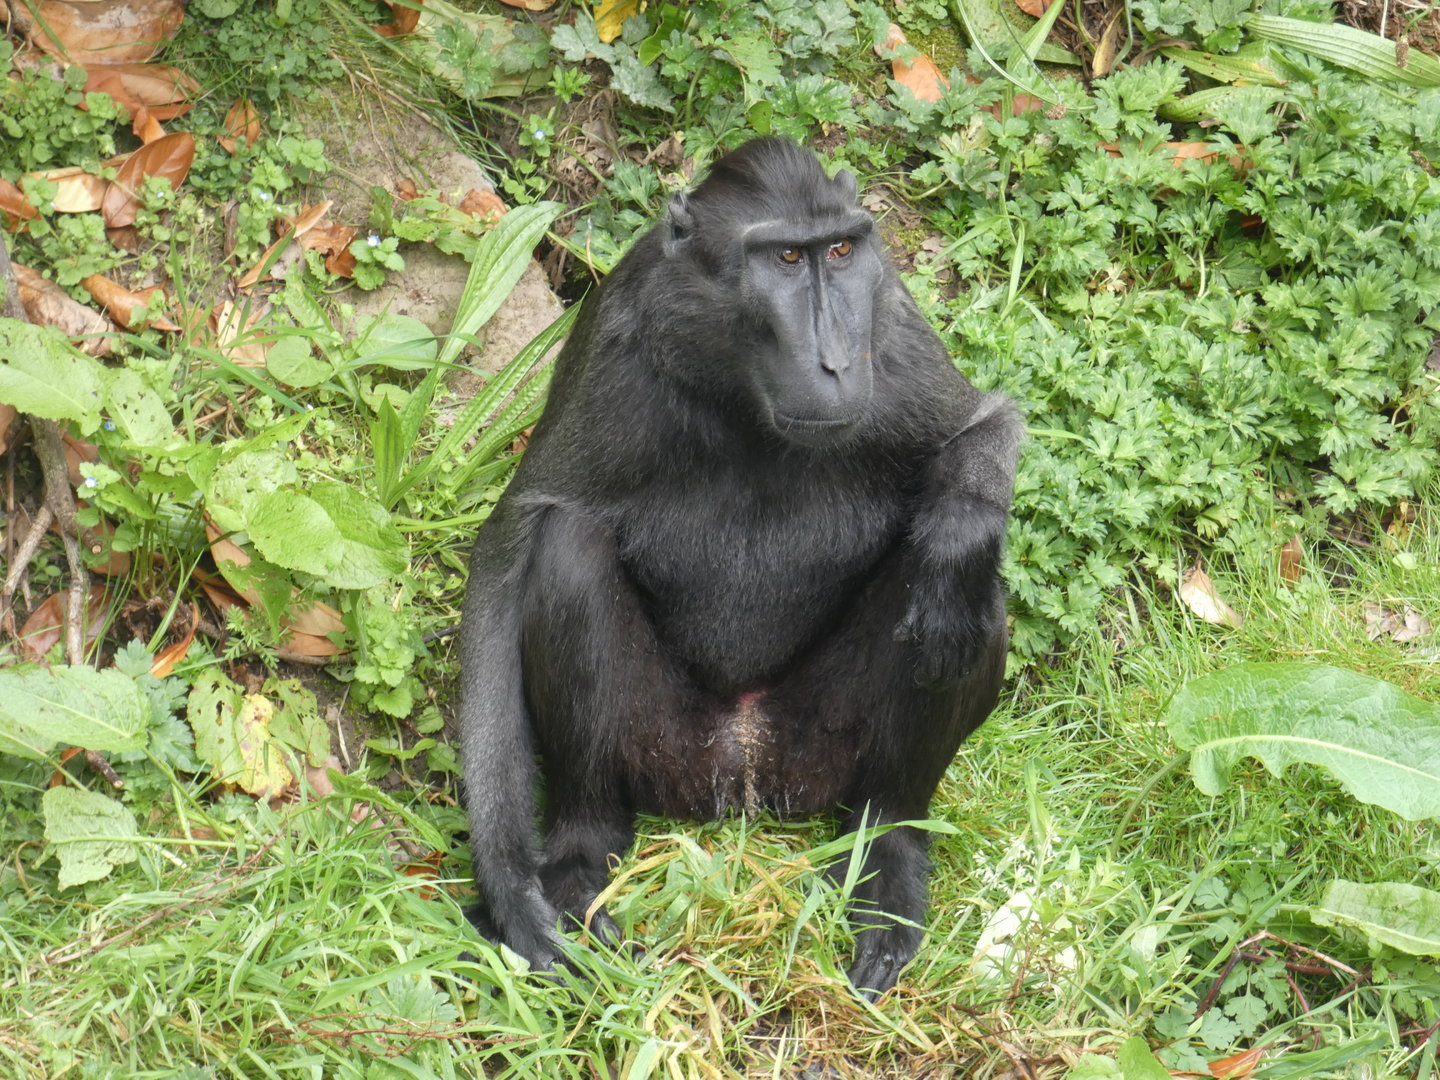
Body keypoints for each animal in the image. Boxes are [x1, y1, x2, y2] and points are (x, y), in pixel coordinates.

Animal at [457, 137, 1020, 997]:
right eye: (785, 258)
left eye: (840, 251)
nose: (834, 362)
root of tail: (746, 775)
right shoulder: (617, 331)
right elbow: (513, 540)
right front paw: (512, 890)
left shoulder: (887, 317)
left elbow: (983, 427)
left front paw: (960, 521)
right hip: (666, 750)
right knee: (568, 545)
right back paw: (582, 854)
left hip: (818, 748)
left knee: (963, 599)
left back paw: (887, 848)